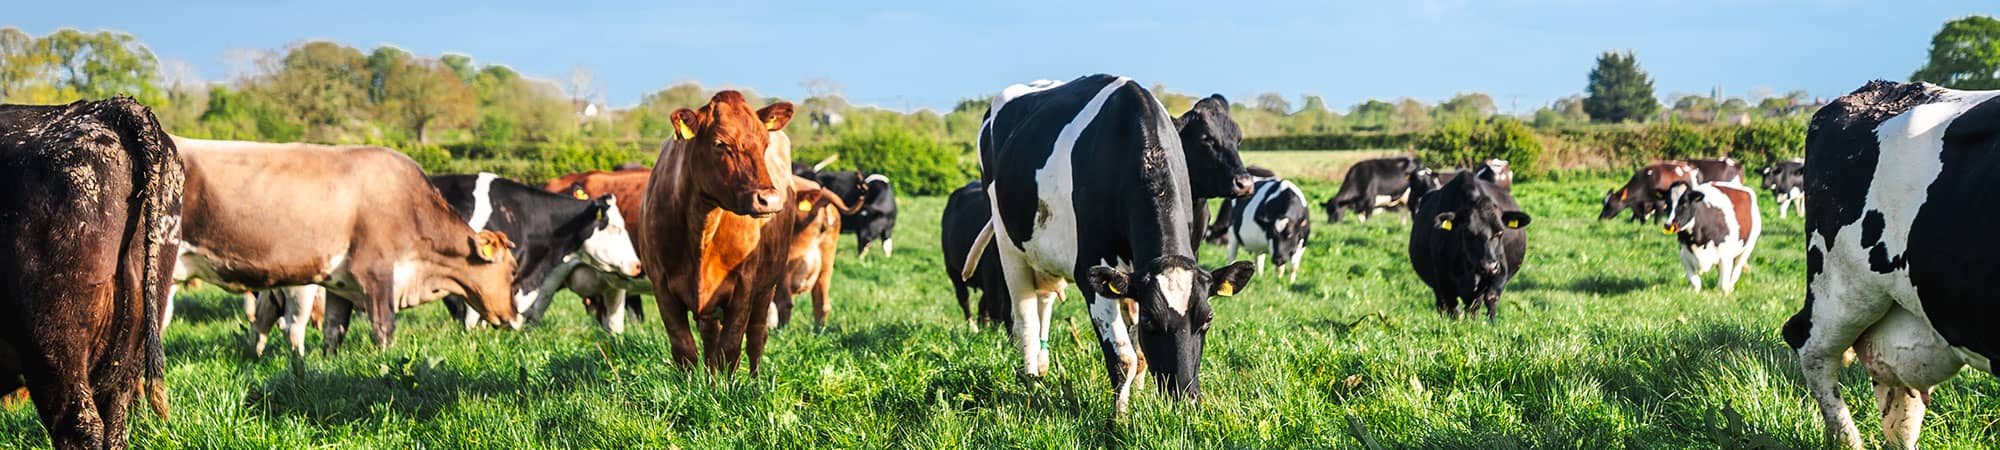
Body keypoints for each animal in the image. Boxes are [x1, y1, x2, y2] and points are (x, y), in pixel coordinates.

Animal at [169, 137, 521, 354]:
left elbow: (333, 331)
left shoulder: (338, 284)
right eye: (513, 270)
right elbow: (384, 327)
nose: (516, 316)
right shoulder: (376, 272)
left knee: (263, 321)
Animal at [637, 91, 798, 373]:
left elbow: (730, 349)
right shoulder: (661, 285)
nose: (769, 199)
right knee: (711, 336)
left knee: (756, 336)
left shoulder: (744, 284)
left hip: (768, 284)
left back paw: (755, 381)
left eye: (764, 143)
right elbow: (685, 350)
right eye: (720, 144)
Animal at [964, 75, 1259, 413]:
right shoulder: (1091, 271)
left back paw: (1042, 364)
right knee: (1025, 320)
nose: (1186, 398)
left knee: (1044, 302)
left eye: (1207, 318)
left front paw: (1141, 398)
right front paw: (1121, 416)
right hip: (1008, 243)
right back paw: (1031, 381)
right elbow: (1123, 358)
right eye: (1151, 321)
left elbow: (1140, 353)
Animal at [1409, 166, 1532, 321]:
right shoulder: (1443, 282)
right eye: (1468, 232)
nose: (1489, 266)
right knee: (1443, 305)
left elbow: (1490, 298)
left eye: (1500, 232)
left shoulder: (1500, 272)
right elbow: (1454, 310)